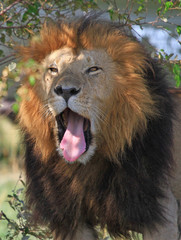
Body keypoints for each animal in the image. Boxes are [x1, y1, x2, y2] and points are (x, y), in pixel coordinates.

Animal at [16, 15, 180, 240]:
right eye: (53, 69)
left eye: (93, 70)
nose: (65, 90)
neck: (85, 167)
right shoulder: (70, 220)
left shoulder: (161, 214)